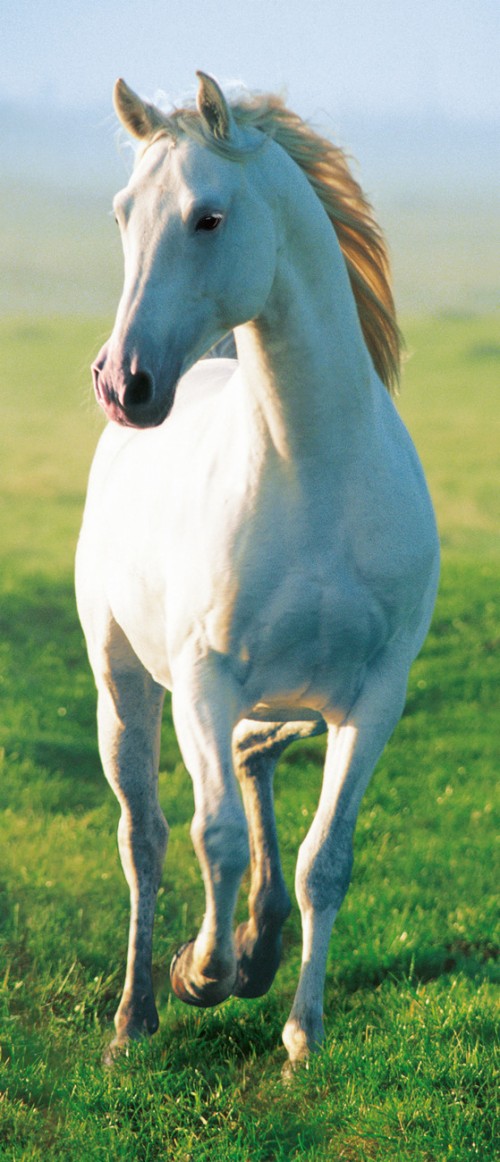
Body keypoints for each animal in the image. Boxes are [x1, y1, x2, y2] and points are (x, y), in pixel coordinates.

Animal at [76, 72, 439, 1064]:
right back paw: (136, 1016)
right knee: (147, 835)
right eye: (121, 213)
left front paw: (302, 1033)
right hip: (123, 683)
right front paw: (202, 973)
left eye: (208, 217)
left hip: (285, 703)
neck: (313, 472)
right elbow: (215, 838)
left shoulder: (375, 697)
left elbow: (326, 861)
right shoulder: (204, 682)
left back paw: (261, 944)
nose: (123, 383)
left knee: (254, 762)